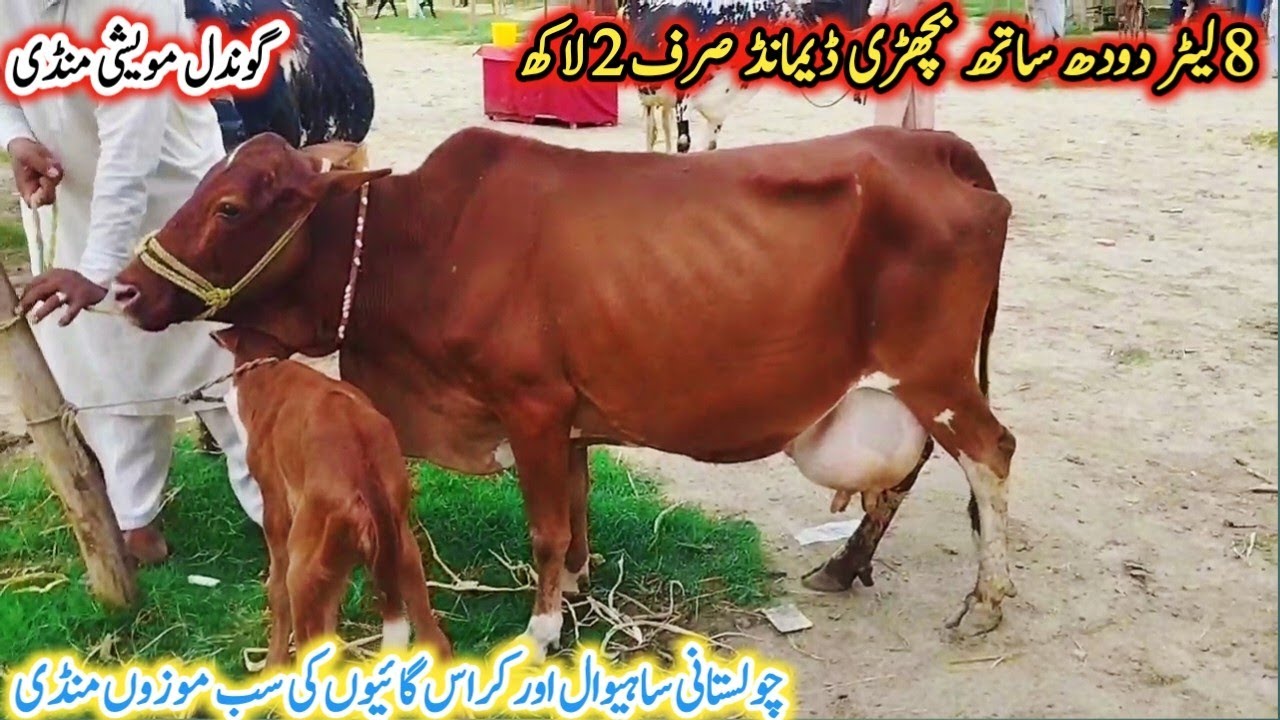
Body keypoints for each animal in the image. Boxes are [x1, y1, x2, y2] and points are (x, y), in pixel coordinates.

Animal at [213, 325, 454, 667]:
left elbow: (277, 594)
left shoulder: (276, 512)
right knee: (435, 639)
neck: (269, 373)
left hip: (303, 567)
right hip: (404, 551)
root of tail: (364, 473)